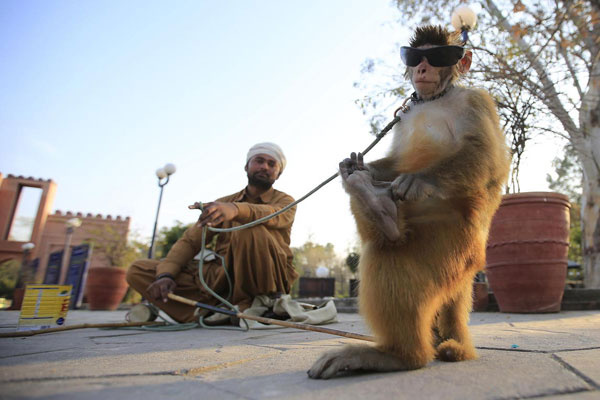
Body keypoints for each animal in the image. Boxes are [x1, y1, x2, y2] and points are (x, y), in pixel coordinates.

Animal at [310, 25, 510, 378]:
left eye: (437, 57)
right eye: (416, 57)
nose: (422, 69)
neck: (436, 98)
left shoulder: (477, 101)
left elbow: (486, 154)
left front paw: (421, 180)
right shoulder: (406, 117)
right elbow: (396, 159)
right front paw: (358, 168)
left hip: (452, 247)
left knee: (387, 254)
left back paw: (401, 355)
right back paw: (371, 198)